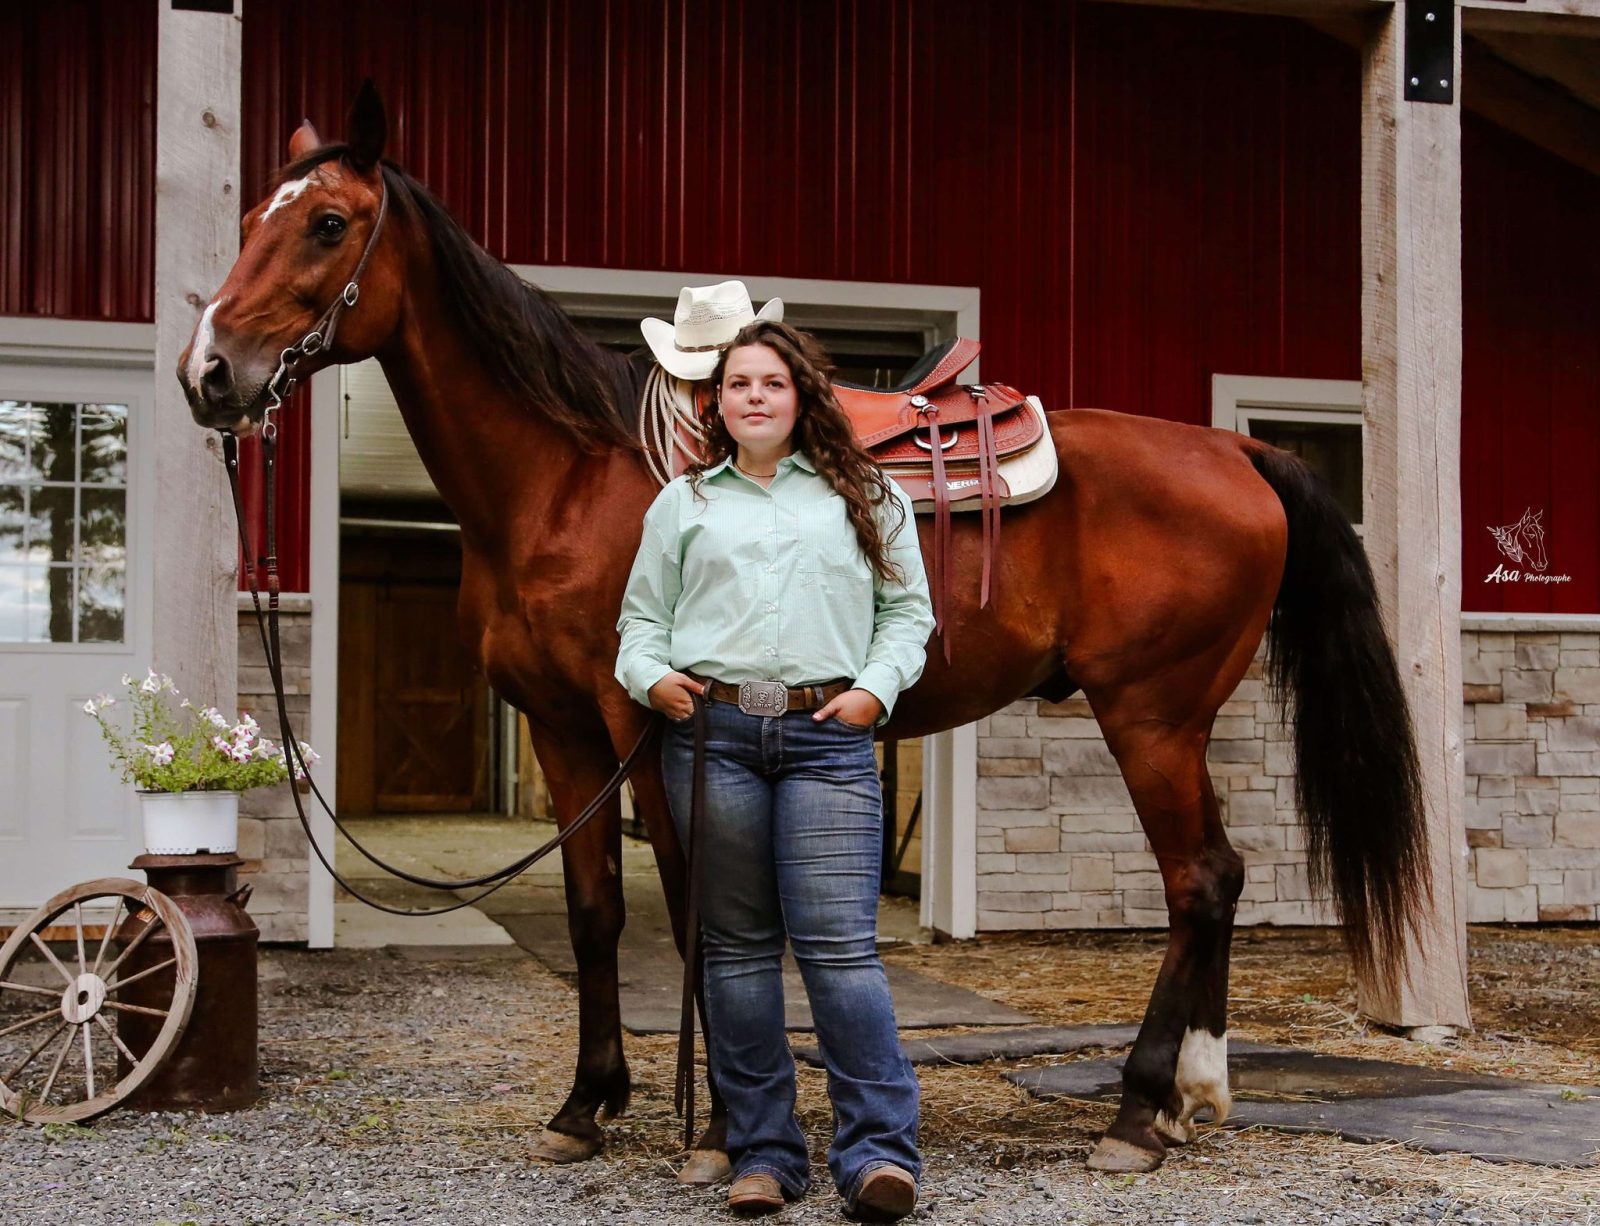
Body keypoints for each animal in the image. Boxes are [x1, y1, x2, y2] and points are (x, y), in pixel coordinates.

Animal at [181, 86, 1433, 1177]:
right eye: (246, 222)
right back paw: (1192, 1095)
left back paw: (1135, 1109)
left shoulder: (646, 724)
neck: (565, 480)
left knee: (1199, 877)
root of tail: (1238, 452)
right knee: (1217, 875)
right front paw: (588, 1102)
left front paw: (713, 1124)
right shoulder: (563, 733)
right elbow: (594, 915)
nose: (210, 373)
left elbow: (692, 912)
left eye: (328, 223)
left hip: (1151, 715)